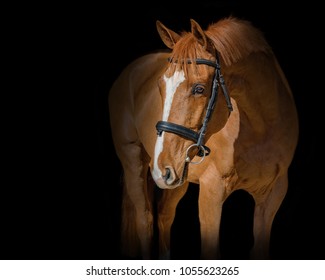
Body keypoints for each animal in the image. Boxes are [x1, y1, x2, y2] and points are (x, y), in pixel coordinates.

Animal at [107, 16, 298, 260]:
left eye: (199, 89)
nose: (160, 168)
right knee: (145, 220)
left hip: (177, 178)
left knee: (164, 217)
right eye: (160, 86)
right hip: (136, 163)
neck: (261, 127)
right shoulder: (211, 192)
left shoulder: (272, 195)